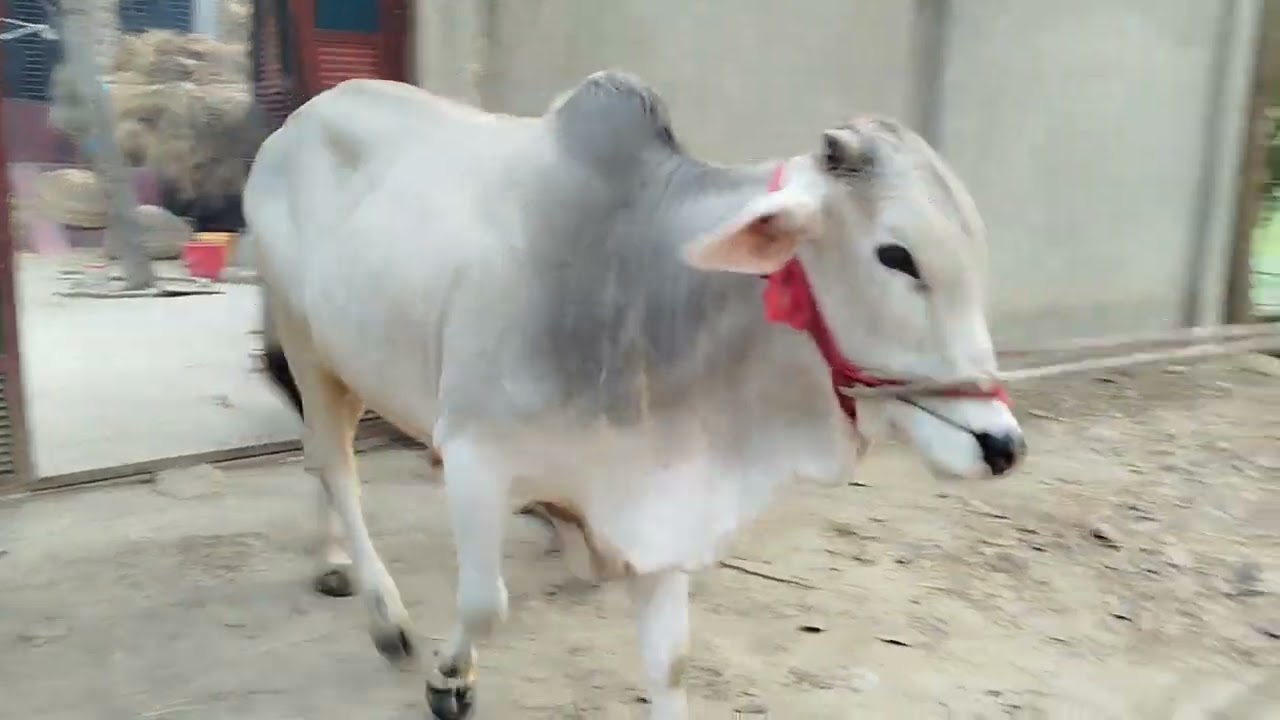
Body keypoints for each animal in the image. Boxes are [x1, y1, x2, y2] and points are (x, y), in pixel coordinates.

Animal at [243, 71, 1026, 720]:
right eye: (897, 256)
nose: (1003, 445)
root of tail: (303, 117)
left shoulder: (668, 498)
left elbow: (670, 664)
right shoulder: (471, 455)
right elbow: (486, 604)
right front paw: (449, 678)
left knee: (319, 455)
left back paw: (330, 558)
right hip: (305, 339)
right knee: (336, 465)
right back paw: (383, 614)